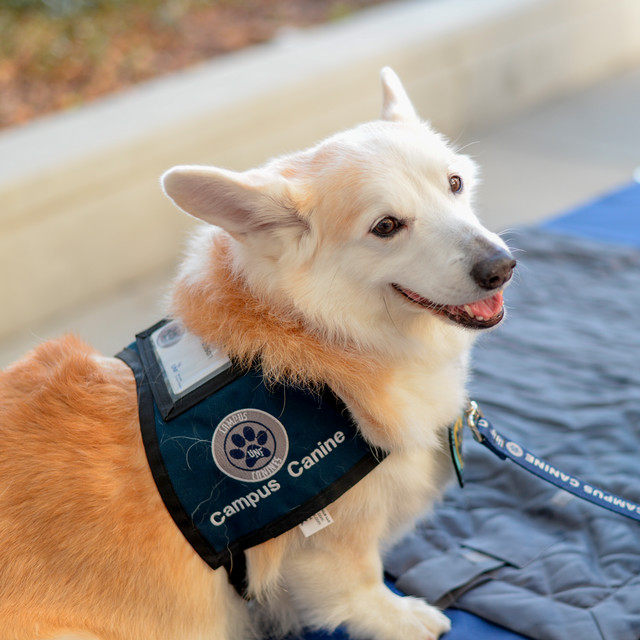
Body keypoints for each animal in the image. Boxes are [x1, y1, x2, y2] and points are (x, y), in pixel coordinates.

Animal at [0, 70, 516, 640]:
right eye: (385, 227)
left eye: (454, 183)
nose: (502, 267)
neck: (319, 331)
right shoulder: (329, 540)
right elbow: (359, 587)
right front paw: (402, 618)